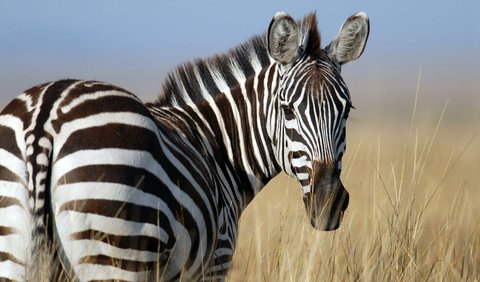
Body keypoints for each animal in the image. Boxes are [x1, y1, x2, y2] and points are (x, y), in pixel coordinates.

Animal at [0, 11, 372, 282]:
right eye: (288, 110)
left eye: (346, 110)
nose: (329, 203)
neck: (220, 148)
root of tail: (46, 116)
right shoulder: (215, 258)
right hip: (114, 251)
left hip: (15, 251)